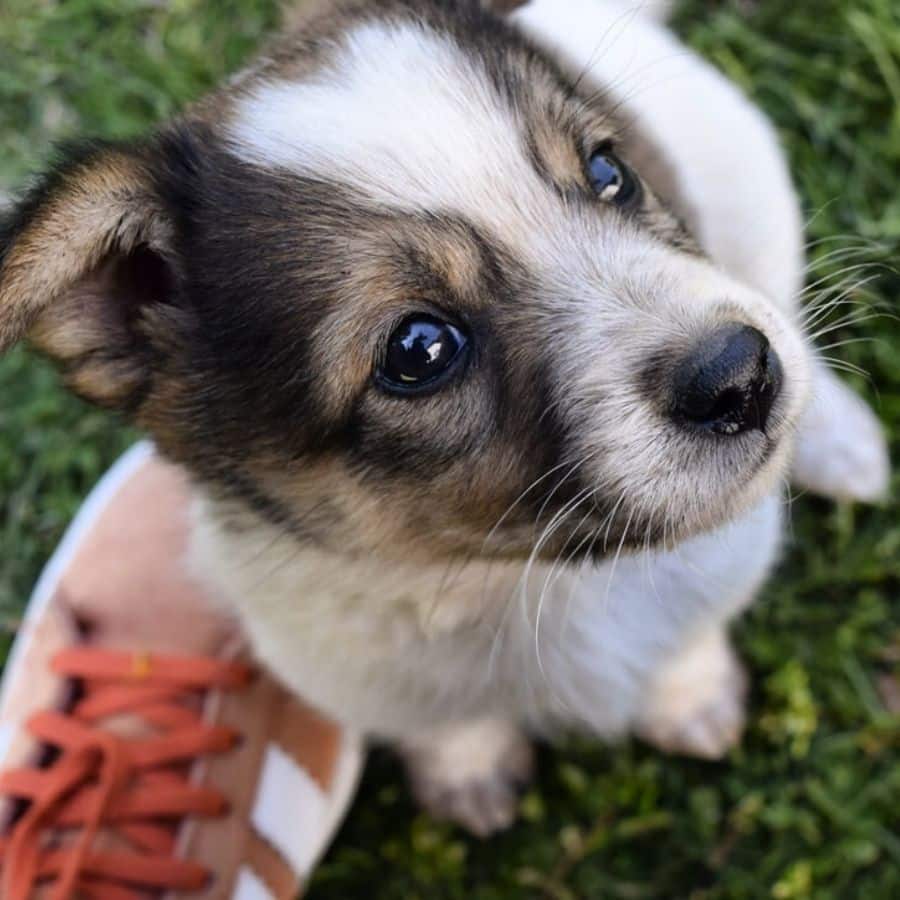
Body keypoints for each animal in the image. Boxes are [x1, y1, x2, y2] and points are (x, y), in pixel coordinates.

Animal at [0, 0, 884, 832]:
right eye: (419, 348)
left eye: (609, 170)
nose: (740, 376)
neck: (521, 582)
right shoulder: (338, 663)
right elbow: (442, 723)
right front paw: (470, 773)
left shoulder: (723, 561)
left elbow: (685, 640)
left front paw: (690, 700)